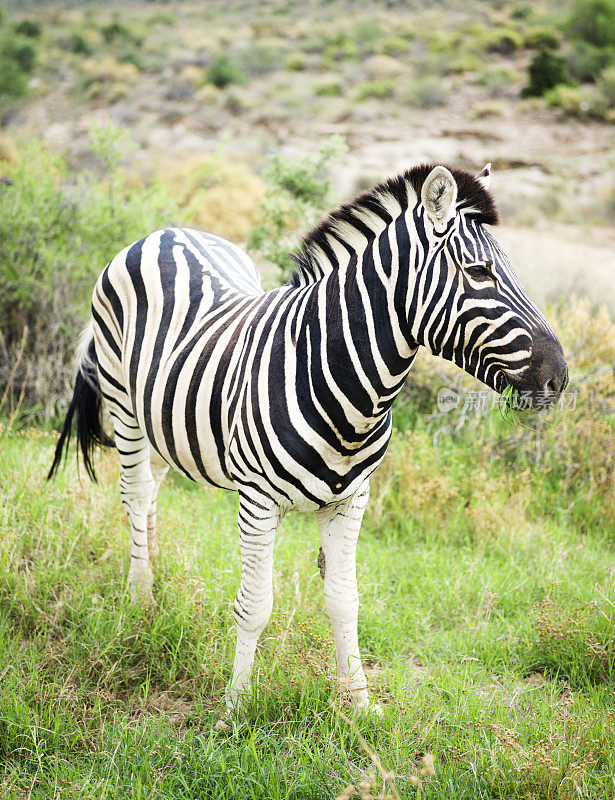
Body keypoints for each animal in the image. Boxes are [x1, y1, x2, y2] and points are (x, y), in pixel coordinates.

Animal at [48, 161, 568, 708]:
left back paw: (154, 581)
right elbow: (254, 604)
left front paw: (358, 701)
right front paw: (234, 707)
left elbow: (344, 599)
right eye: (479, 273)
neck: (345, 389)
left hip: (166, 420)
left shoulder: (351, 500)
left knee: (151, 493)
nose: (559, 377)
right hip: (122, 401)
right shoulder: (256, 501)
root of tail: (165, 232)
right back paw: (140, 599)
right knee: (135, 491)